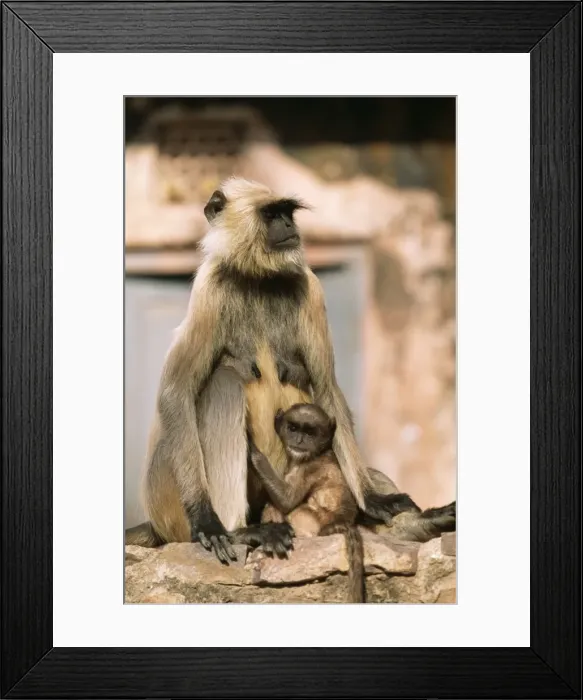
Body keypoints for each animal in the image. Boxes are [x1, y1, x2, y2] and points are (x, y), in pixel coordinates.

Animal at [125, 177, 451, 563]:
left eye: (287, 212)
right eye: (270, 214)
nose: (287, 225)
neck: (259, 278)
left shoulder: (309, 285)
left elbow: (326, 387)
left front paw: (374, 499)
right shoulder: (210, 286)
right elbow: (177, 391)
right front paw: (206, 519)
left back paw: (417, 524)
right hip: (168, 499)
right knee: (224, 382)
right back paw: (240, 531)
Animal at [248, 404, 366, 603]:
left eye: (310, 433)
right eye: (293, 428)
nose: (300, 439)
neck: (319, 452)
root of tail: (341, 522)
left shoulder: (310, 467)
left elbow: (286, 501)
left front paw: (251, 448)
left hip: (311, 521)